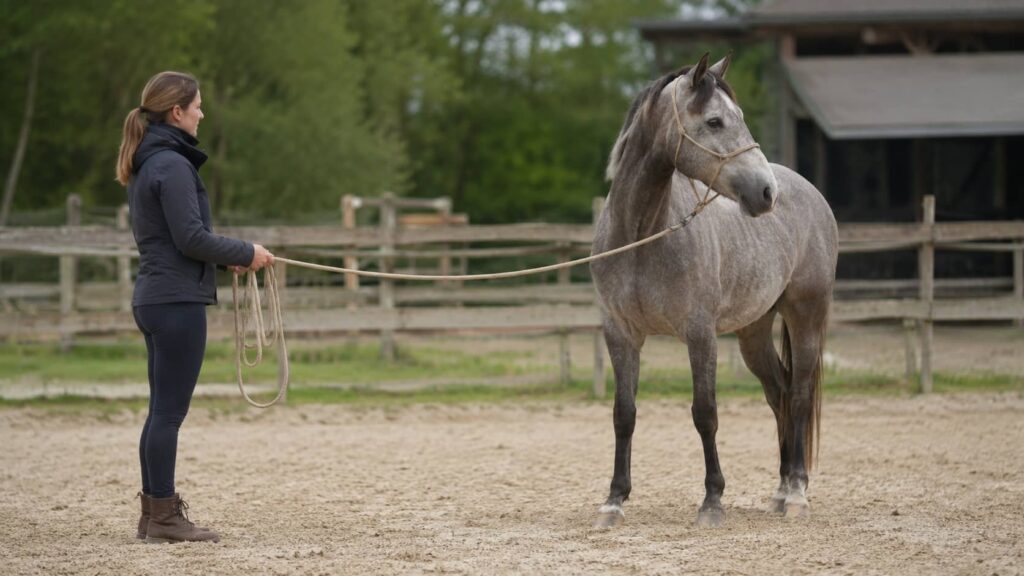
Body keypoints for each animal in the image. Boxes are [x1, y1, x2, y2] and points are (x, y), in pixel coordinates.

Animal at [590, 53, 838, 528]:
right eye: (715, 121)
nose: (765, 192)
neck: (641, 236)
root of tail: (808, 190)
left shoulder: (699, 333)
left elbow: (705, 412)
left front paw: (712, 500)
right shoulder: (620, 334)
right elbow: (623, 414)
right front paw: (613, 500)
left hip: (806, 314)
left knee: (797, 394)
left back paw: (797, 493)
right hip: (753, 332)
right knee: (778, 392)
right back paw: (781, 489)